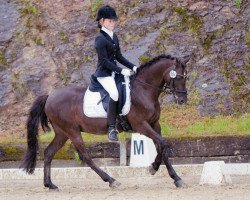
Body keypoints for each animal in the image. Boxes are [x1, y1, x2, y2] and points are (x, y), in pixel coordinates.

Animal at [21, 54, 188, 189]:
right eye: (179, 77)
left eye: (186, 77)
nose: (182, 100)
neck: (144, 90)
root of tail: (50, 96)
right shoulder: (141, 125)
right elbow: (163, 143)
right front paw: (154, 168)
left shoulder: (154, 124)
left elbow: (162, 146)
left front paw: (174, 177)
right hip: (72, 131)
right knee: (85, 156)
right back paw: (111, 180)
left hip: (62, 133)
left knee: (49, 152)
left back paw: (49, 184)